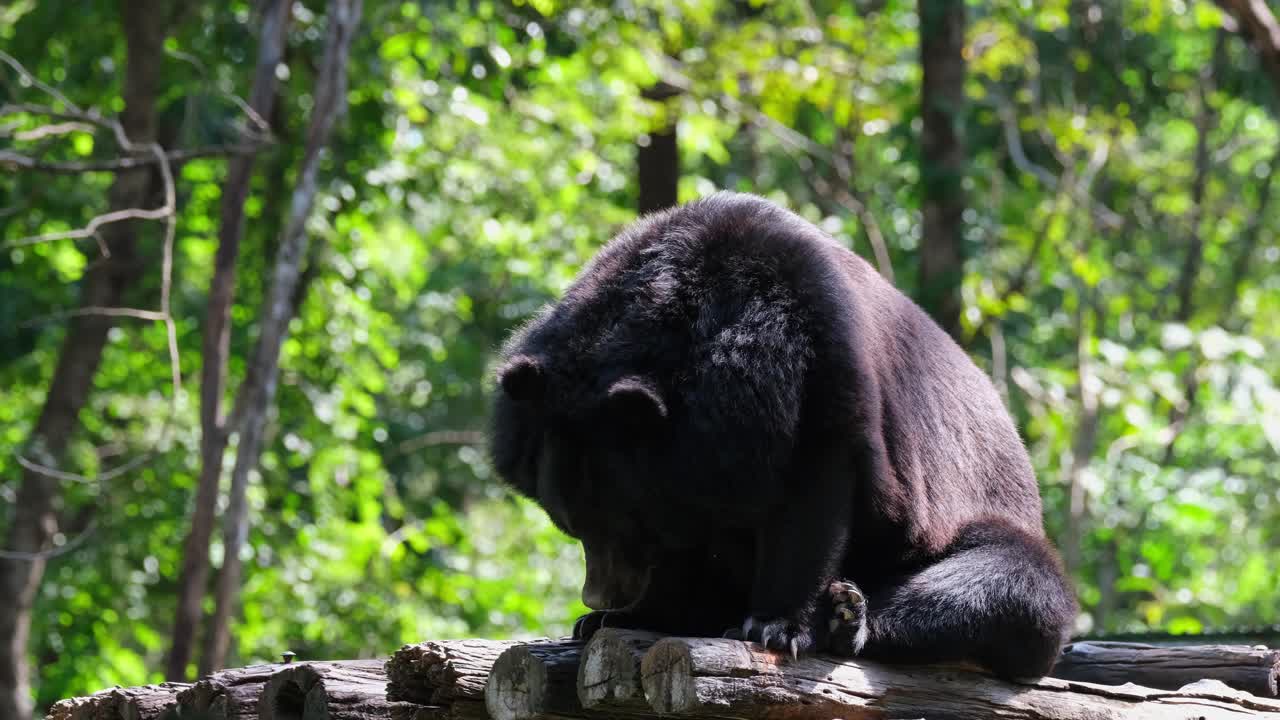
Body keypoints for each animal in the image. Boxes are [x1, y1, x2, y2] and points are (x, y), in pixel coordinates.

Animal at [488, 191, 1078, 680]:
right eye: (569, 525)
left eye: (626, 525)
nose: (598, 596)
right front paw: (623, 618)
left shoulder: (820, 363)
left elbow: (813, 493)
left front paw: (775, 626)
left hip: (978, 523)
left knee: (1008, 587)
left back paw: (846, 616)